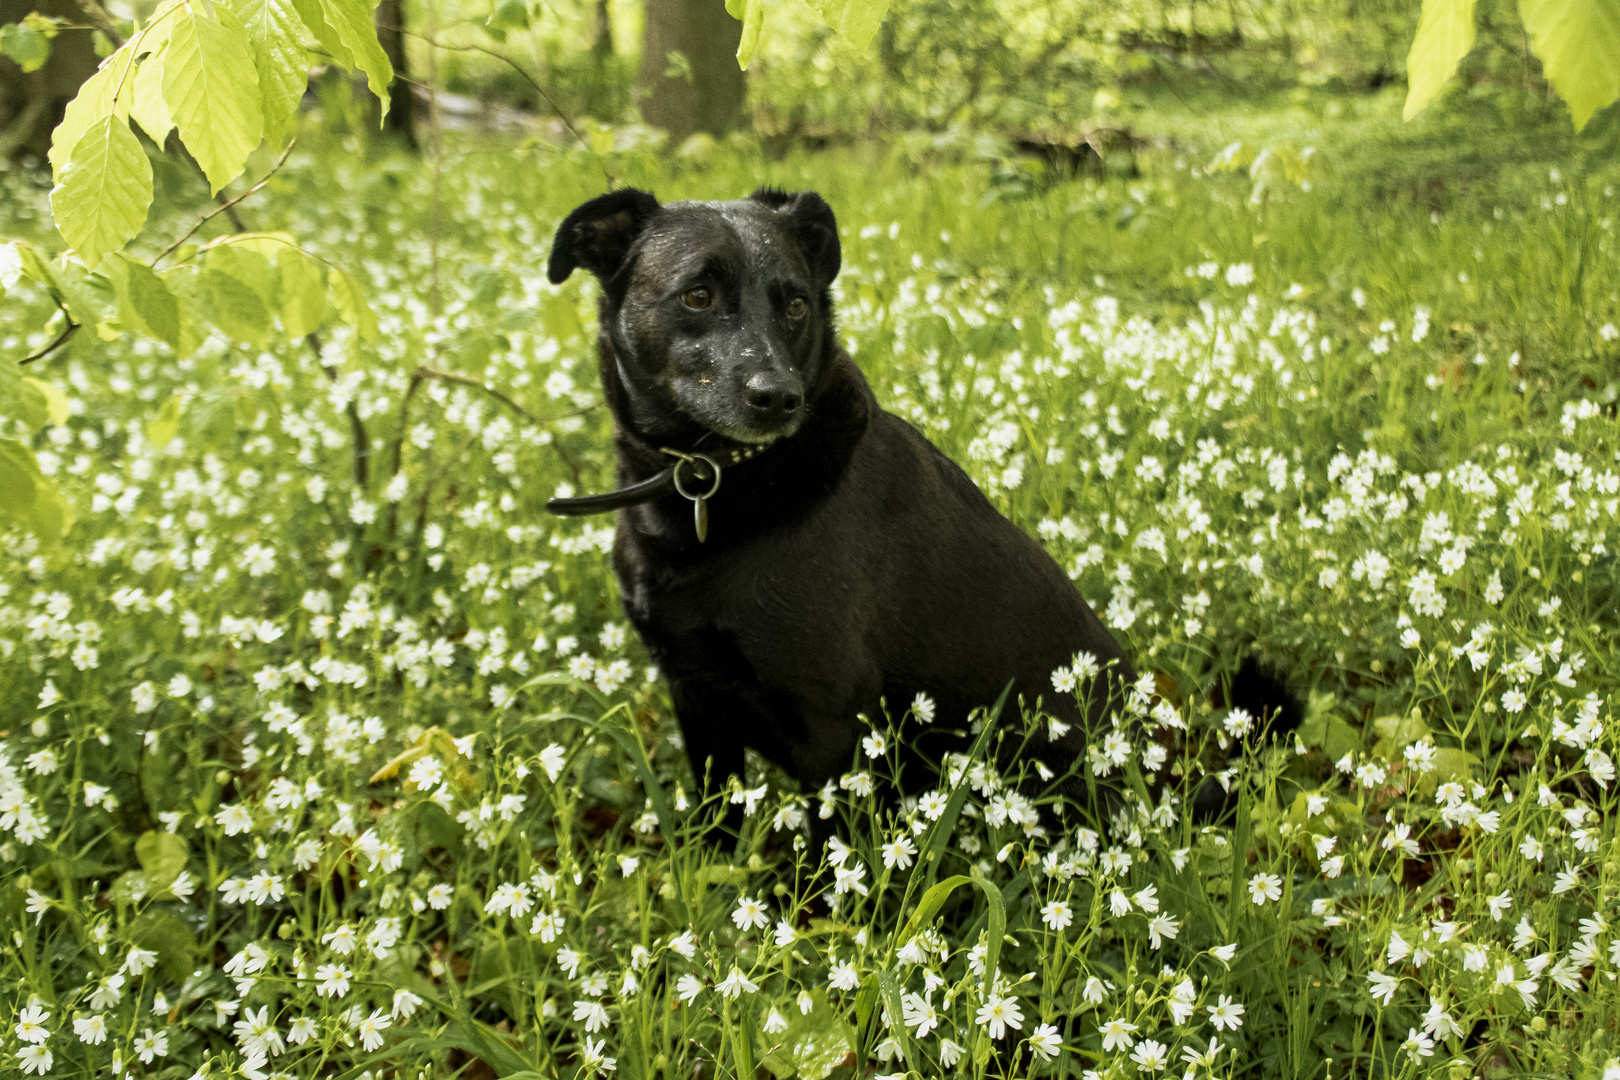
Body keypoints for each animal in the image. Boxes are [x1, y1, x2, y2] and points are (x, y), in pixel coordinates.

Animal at [547, 190, 1153, 835]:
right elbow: (717, 830)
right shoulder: (696, 700)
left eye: (796, 305)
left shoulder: (831, 724)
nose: (780, 398)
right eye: (697, 295)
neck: (715, 480)